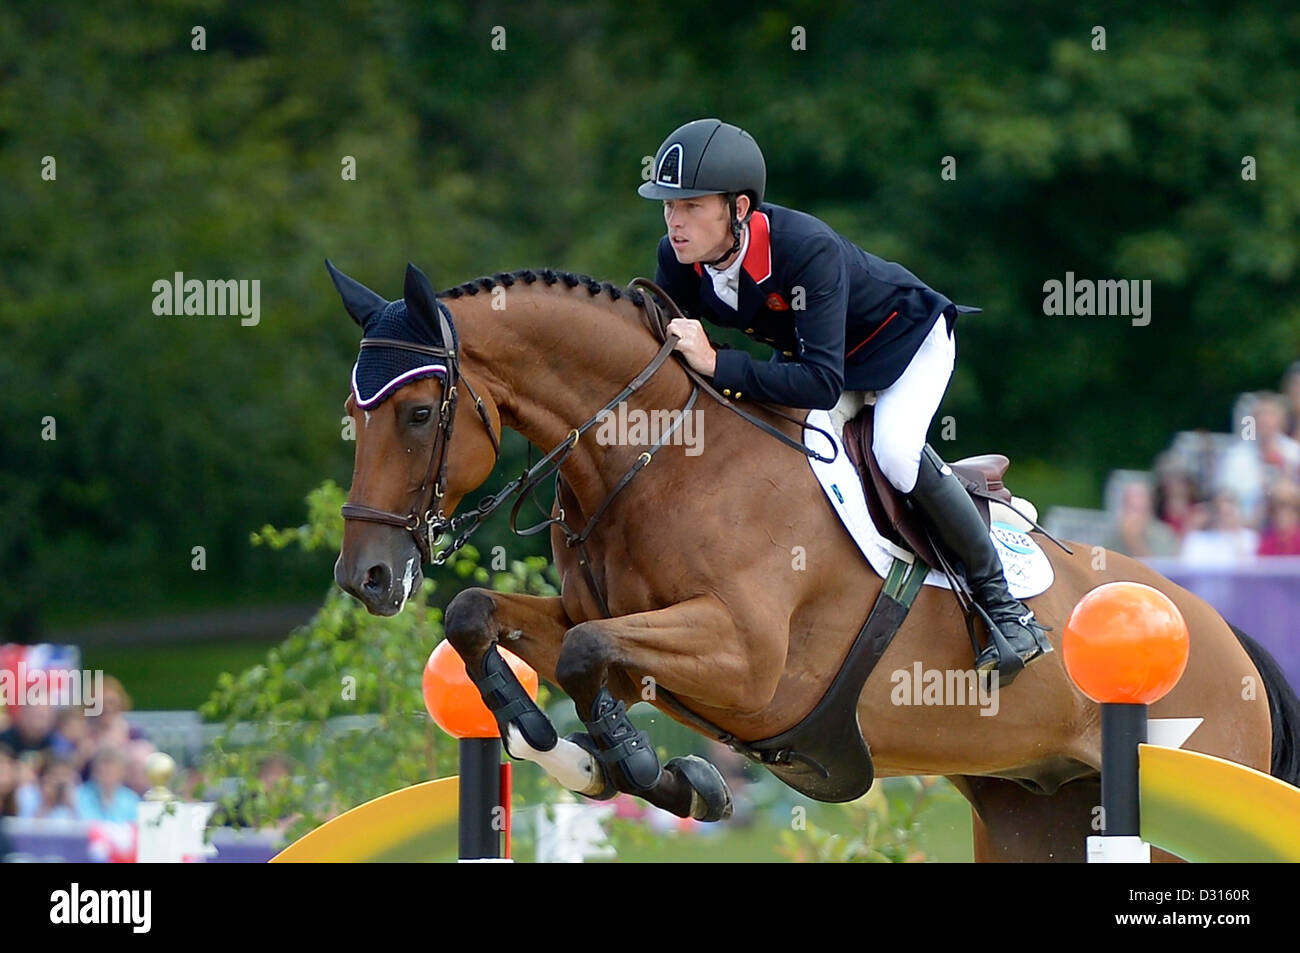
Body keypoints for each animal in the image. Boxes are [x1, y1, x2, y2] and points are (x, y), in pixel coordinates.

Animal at [332, 262, 1300, 863]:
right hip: (1040, 810)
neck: (654, 457)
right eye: (354, 413)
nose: (366, 579)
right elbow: (484, 619)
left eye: (418, 413)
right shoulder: (618, 626)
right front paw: (564, 751)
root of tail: (1230, 642)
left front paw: (649, 772)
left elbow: (583, 655)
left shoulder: (747, 661)